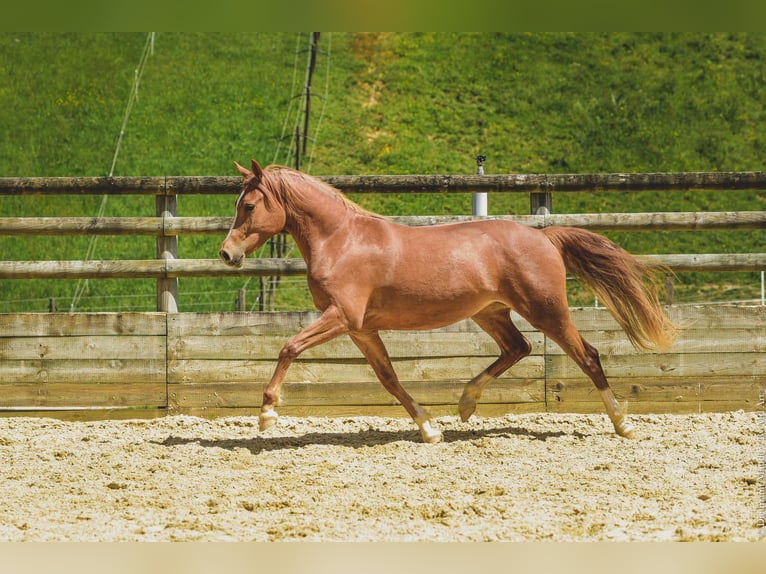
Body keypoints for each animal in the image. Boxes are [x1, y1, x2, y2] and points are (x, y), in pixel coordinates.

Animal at [219, 161, 676, 446]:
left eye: (249, 205)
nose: (227, 254)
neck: (341, 241)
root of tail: (544, 237)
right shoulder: (361, 328)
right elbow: (389, 378)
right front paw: (430, 429)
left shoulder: (341, 317)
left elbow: (289, 347)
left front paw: (267, 414)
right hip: (491, 312)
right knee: (519, 347)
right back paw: (465, 404)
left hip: (547, 310)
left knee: (588, 356)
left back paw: (624, 424)